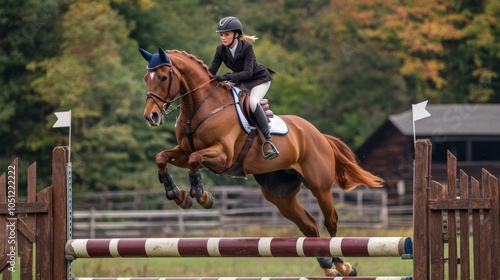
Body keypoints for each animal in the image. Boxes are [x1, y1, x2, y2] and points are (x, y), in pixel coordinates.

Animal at [139, 47, 384, 276]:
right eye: (146, 78)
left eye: (163, 77)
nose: (151, 117)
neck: (199, 108)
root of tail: (318, 135)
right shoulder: (183, 151)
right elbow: (162, 158)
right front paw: (177, 195)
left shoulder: (223, 155)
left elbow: (194, 159)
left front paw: (201, 195)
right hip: (279, 195)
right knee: (309, 225)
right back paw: (327, 265)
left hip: (319, 186)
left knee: (330, 221)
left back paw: (343, 266)